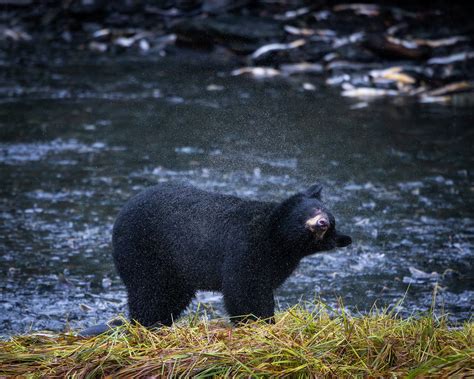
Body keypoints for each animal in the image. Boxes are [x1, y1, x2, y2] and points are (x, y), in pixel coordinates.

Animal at [110, 183, 348, 326]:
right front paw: (256, 321)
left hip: (174, 270)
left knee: (170, 296)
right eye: (316, 209)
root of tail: (120, 215)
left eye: (330, 226)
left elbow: (260, 287)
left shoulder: (274, 261)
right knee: (148, 291)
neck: (278, 239)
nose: (322, 222)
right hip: (144, 250)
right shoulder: (246, 244)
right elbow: (242, 287)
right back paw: (147, 324)